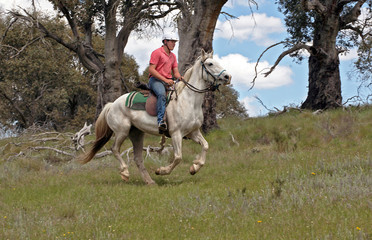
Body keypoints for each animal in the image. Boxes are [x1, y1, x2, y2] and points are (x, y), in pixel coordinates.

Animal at [79, 50, 230, 185]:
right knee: (115, 149)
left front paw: (195, 167)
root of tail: (112, 104)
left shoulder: (193, 132)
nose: (228, 76)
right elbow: (178, 157)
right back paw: (125, 173)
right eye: (210, 63)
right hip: (122, 131)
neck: (188, 100)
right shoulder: (176, 134)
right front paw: (161, 171)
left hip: (137, 134)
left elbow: (205, 145)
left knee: (137, 158)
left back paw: (149, 181)